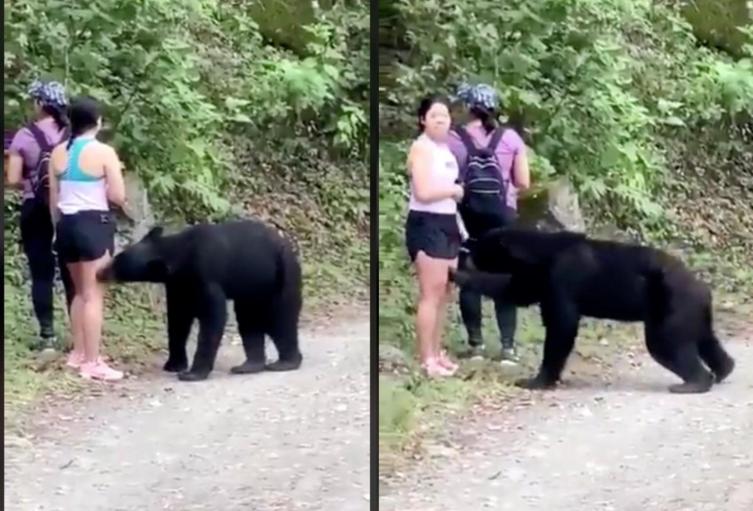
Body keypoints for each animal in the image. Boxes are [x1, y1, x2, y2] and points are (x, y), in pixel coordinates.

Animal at [97, 220, 302, 384]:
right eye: (117, 258)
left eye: (118, 266)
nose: (99, 273)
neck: (181, 253)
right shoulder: (178, 285)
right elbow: (178, 319)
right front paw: (174, 364)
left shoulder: (205, 275)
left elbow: (213, 317)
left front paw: (192, 373)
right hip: (251, 288)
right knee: (249, 320)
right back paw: (249, 365)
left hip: (282, 275)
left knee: (281, 317)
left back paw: (286, 362)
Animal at [452, 229, 736, 396]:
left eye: (481, 245)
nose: (465, 246)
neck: (541, 255)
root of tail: (704, 288)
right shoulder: (537, 278)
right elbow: (514, 290)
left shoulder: (561, 278)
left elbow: (562, 325)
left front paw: (536, 380)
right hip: (693, 312)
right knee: (707, 341)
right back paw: (724, 369)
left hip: (671, 307)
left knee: (665, 343)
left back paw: (692, 382)